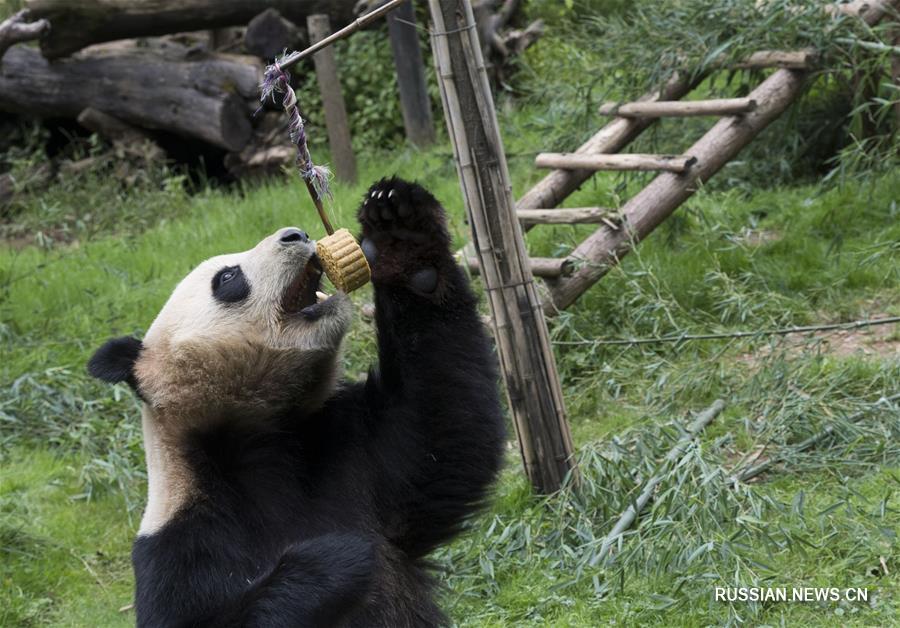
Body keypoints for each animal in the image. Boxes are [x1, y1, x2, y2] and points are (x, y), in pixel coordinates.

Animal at [89, 179, 506, 624]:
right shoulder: (181, 550)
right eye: (228, 277)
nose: (296, 234)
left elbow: (443, 423)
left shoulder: (347, 456)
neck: (252, 438)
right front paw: (335, 555)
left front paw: (400, 232)